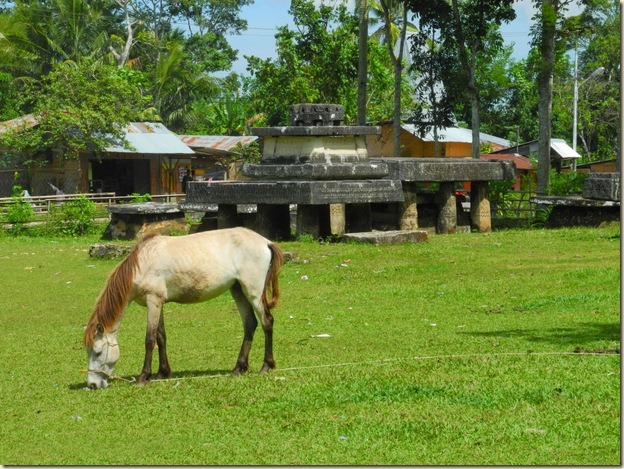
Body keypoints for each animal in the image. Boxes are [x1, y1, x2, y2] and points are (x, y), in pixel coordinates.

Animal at [84, 227, 284, 388]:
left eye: (98, 352)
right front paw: (162, 373)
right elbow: (161, 337)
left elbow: (150, 339)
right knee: (250, 324)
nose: (92, 385)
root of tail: (265, 242)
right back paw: (238, 368)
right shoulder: (159, 303)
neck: (142, 263)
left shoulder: (153, 301)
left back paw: (266, 366)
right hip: (238, 290)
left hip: (253, 292)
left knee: (267, 321)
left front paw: (143, 377)